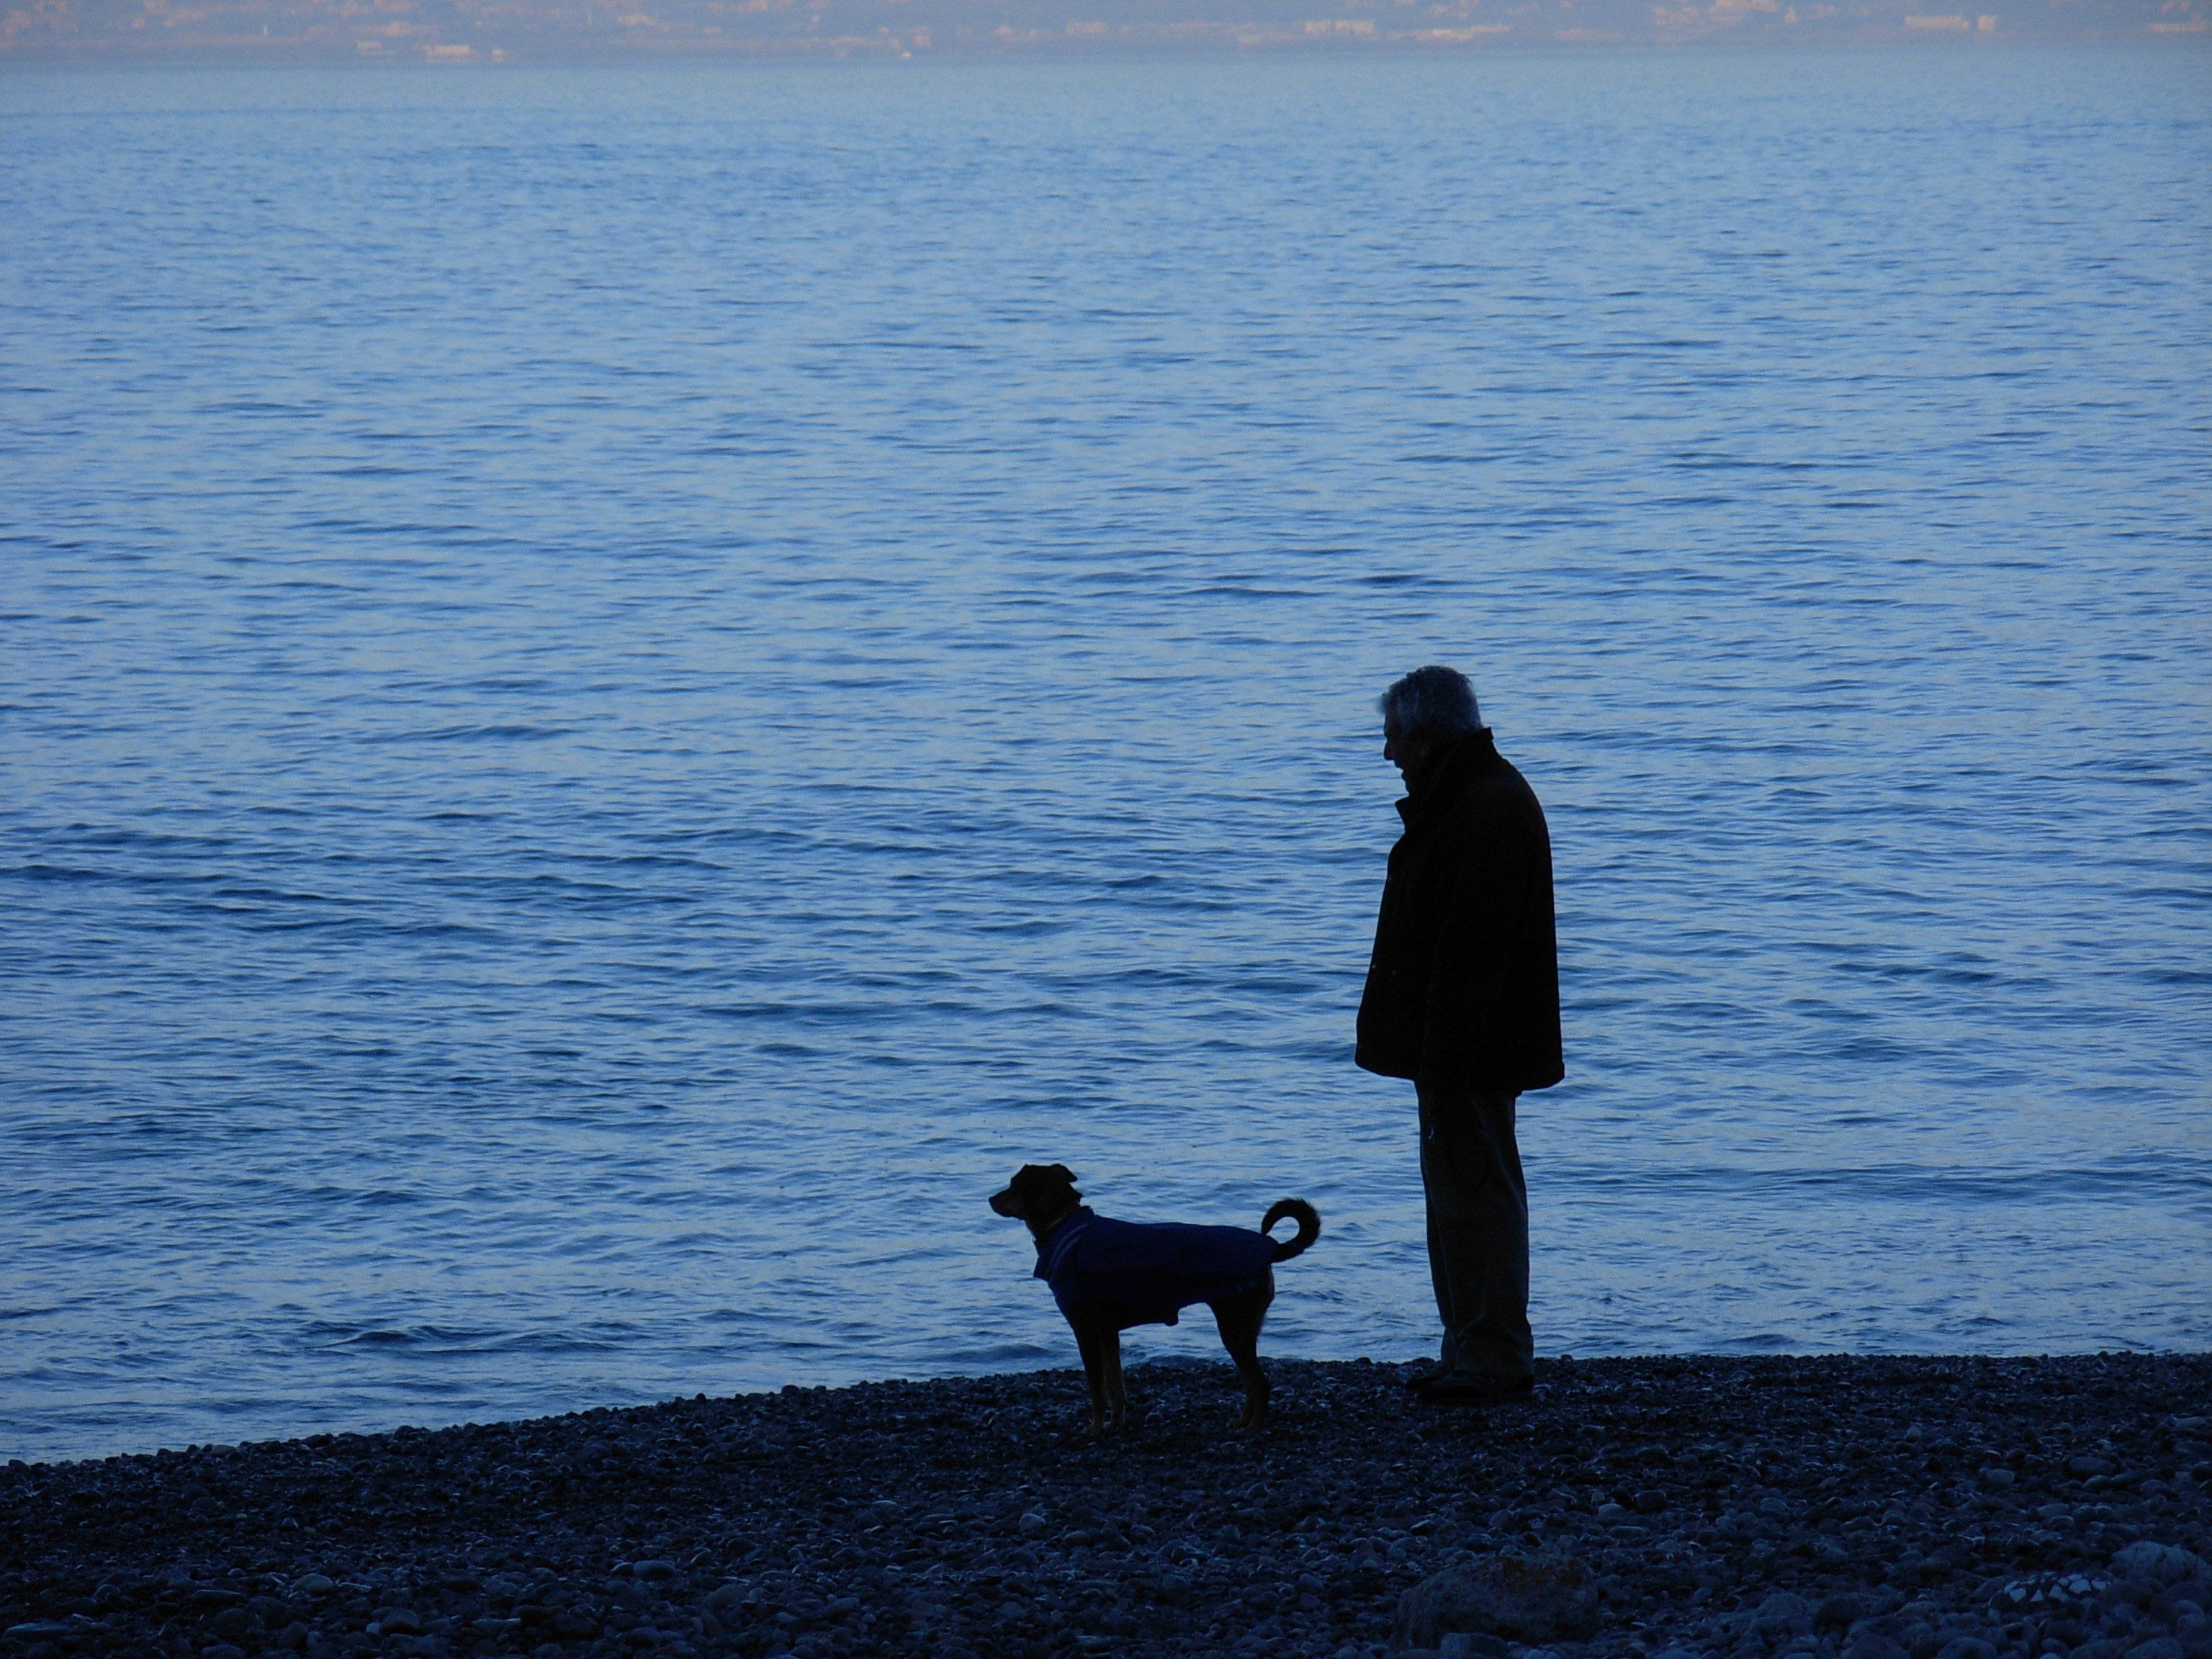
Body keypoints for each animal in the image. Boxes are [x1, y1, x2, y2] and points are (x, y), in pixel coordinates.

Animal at [989, 1163, 1320, 1436]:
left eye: (1013, 1186)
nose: (991, 1199)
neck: (1064, 1224)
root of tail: (1271, 1247)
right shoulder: (1107, 1334)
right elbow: (1116, 1385)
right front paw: (1116, 1423)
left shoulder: (1086, 1332)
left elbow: (1097, 1389)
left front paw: (1095, 1429)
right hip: (1242, 1329)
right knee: (1251, 1382)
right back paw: (1242, 1421)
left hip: (1234, 1327)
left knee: (1260, 1384)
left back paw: (1252, 1429)